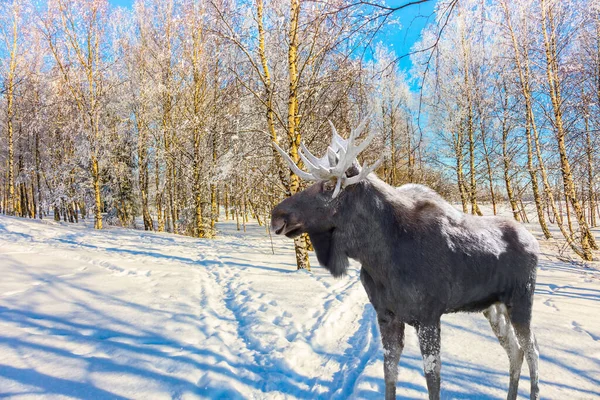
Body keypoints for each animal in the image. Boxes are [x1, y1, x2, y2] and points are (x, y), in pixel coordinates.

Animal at [270, 119, 540, 400]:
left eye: (328, 186)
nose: (276, 216)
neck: (379, 259)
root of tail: (534, 241)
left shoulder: (429, 316)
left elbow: (433, 379)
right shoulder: (386, 315)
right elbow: (389, 373)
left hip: (521, 299)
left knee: (532, 349)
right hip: (493, 306)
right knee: (515, 351)